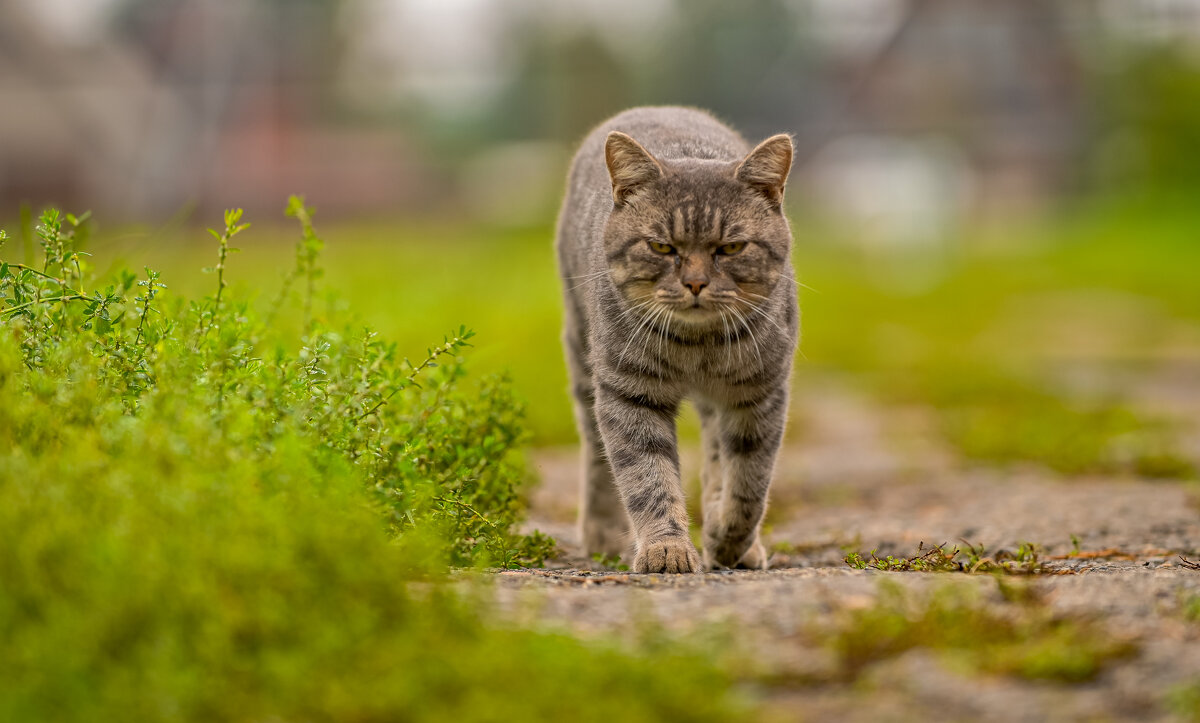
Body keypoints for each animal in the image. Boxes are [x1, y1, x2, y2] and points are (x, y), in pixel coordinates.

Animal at [554, 103, 796, 571]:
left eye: (731, 248)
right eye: (662, 247)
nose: (696, 283)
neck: (698, 348)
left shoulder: (759, 395)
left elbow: (748, 486)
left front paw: (727, 541)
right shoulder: (629, 393)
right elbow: (647, 478)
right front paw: (665, 547)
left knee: (718, 456)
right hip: (583, 358)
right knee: (596, 455)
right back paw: (603, 533)